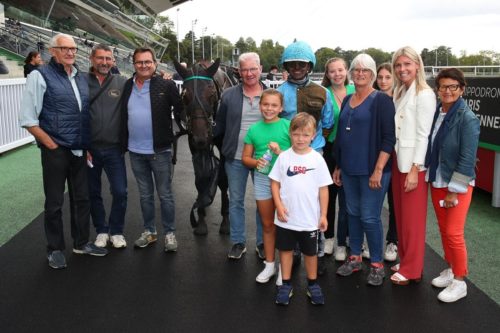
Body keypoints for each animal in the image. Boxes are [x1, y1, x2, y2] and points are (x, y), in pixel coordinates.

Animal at [173, 57, 233, 233]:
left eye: (211, 93)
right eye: (184, 95)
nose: (201, 138)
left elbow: (224, 179)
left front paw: (225, 220)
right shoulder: (193, 144)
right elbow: (200, 177)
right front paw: (200, 219)